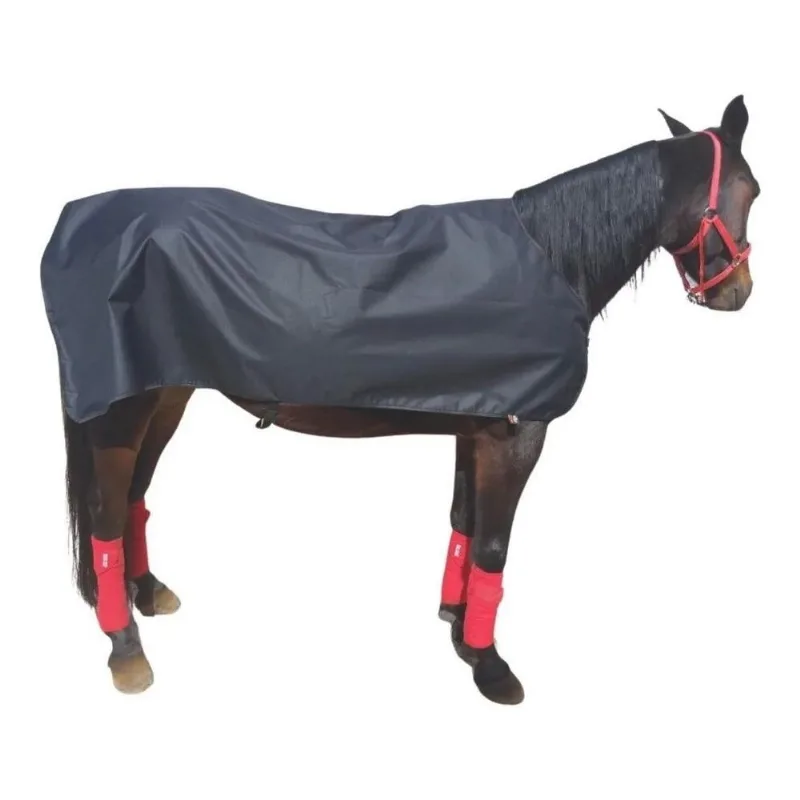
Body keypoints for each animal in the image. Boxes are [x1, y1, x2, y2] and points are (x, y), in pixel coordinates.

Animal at [47, 94, 758, 704]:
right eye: (748, 190)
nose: (735, 291)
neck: (553, 262)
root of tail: (74, 226)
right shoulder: (518, 435)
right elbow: (494, 545)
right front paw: (491, 666)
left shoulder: (478, 428)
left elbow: (463, 524)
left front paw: (457, 630)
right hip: (120, 412)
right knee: (106, 515)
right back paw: (126, 649)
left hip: (167, 394)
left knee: (134, 499)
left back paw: (147, 592)